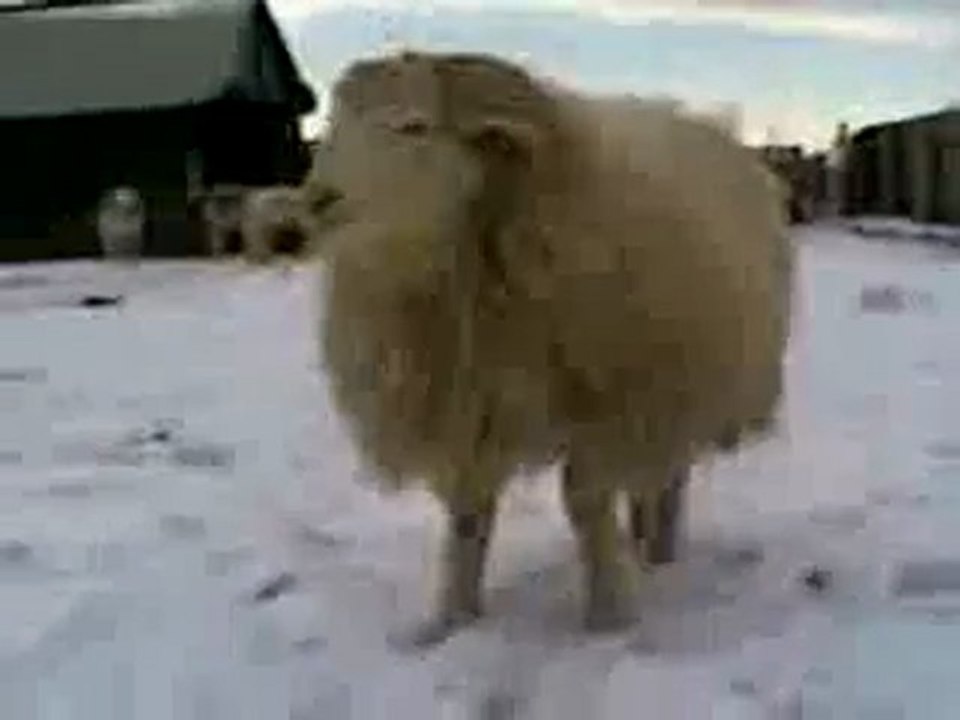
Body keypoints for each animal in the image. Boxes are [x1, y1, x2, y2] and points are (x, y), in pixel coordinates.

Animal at [304, 50, 794, 646]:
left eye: (414, 125)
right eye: (335, 122)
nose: (317, 200)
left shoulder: (608, 401)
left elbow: (583, 501)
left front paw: (608, 615)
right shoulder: (467, 407)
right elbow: (468, 516)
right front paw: (451, 621)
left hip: (676, 390)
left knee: (668, 476)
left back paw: (658, 555)